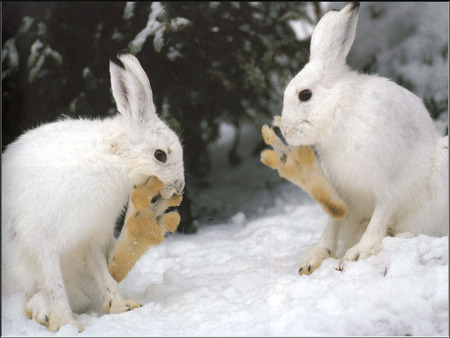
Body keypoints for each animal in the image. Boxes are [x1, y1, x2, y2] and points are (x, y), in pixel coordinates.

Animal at [1, 51, 185, 332]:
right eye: (160, 155)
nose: (179, 186)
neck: (115, 156)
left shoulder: (92, 237)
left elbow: (104, 274)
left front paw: (122, 306)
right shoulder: (42, 240)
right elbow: (54, 284)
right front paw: (66, 325)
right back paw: (44, 314)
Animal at [280, 1, 448, 274]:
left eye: (305, 95)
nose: (285, 131)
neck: (340, 109)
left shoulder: (388, 184)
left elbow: (380, 216)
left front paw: (359, 253)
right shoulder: (341, 192)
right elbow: (332, 224)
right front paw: (313, 259)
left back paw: (402, 237)